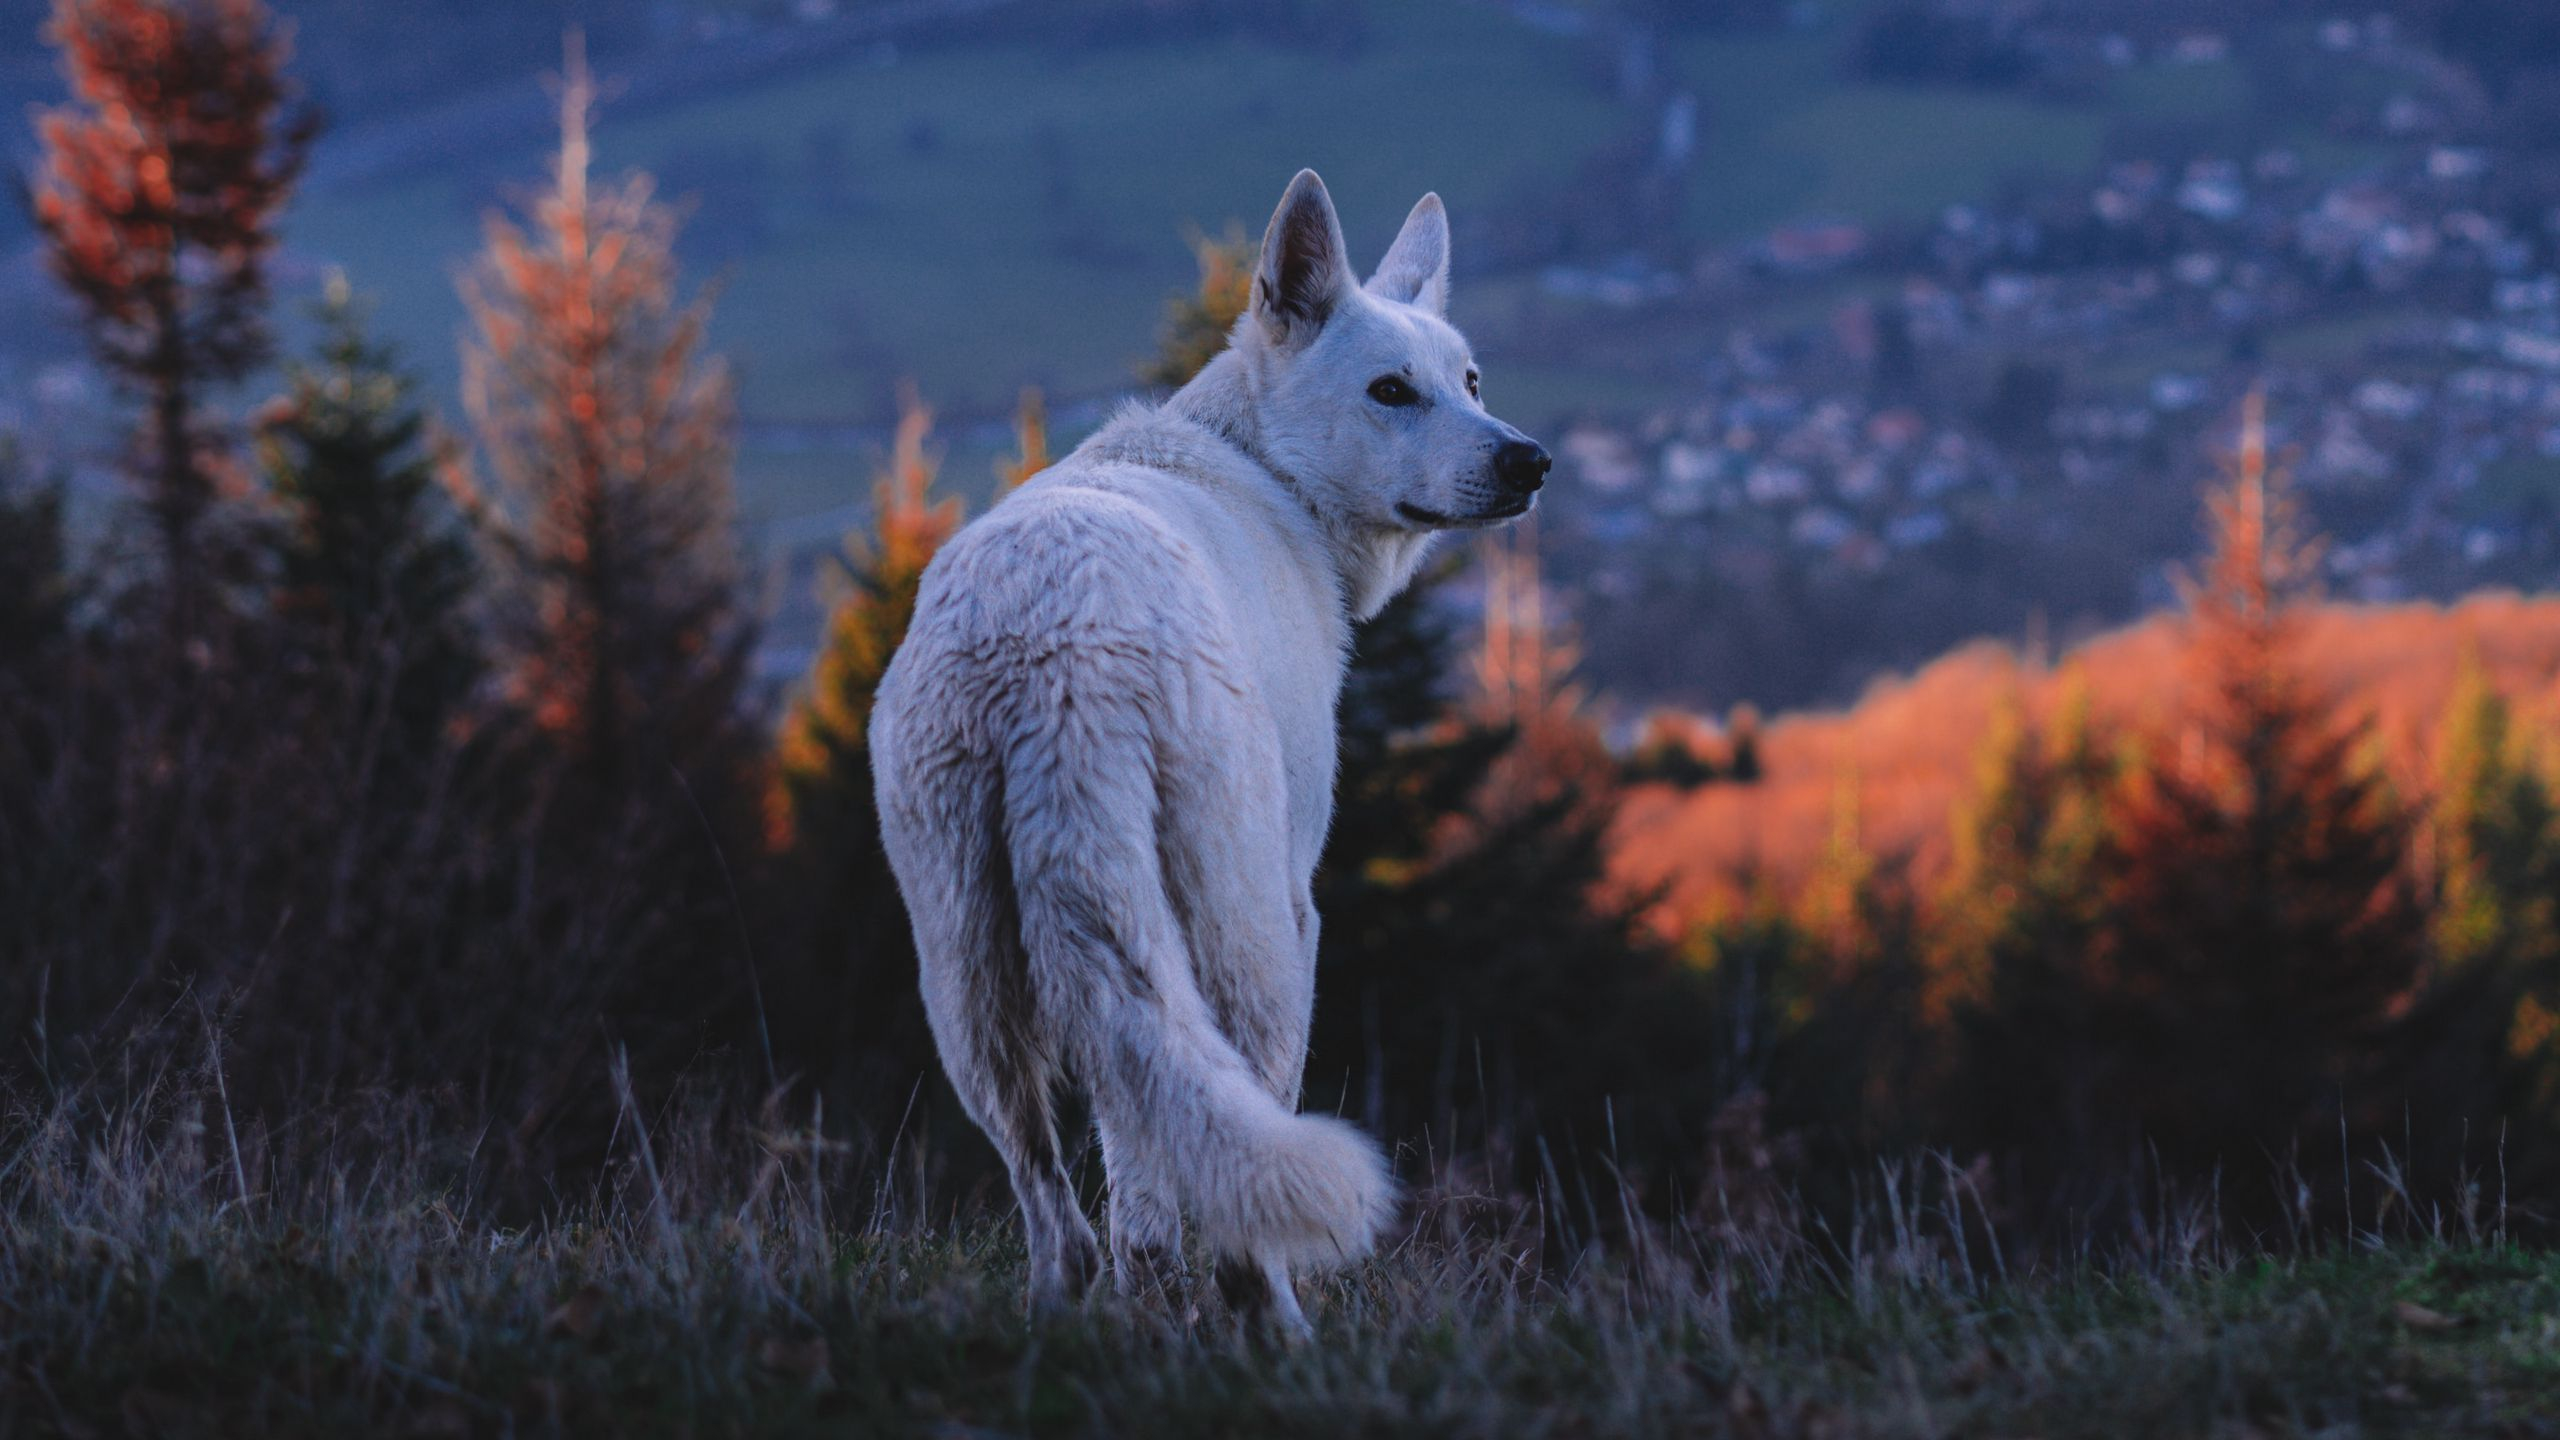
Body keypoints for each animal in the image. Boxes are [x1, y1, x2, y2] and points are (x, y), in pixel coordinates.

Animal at [880, 165, 1546, 1322]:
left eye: (1467, 380)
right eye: (1391, 391)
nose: (1529, 461)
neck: (1263, 468)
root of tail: (1046, 654)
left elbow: (1133, 1164)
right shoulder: (1292, 897)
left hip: (969, 971)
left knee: (1070, 1204)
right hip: (1249, 933)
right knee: (1240, 1172)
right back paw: (1272, 1320)